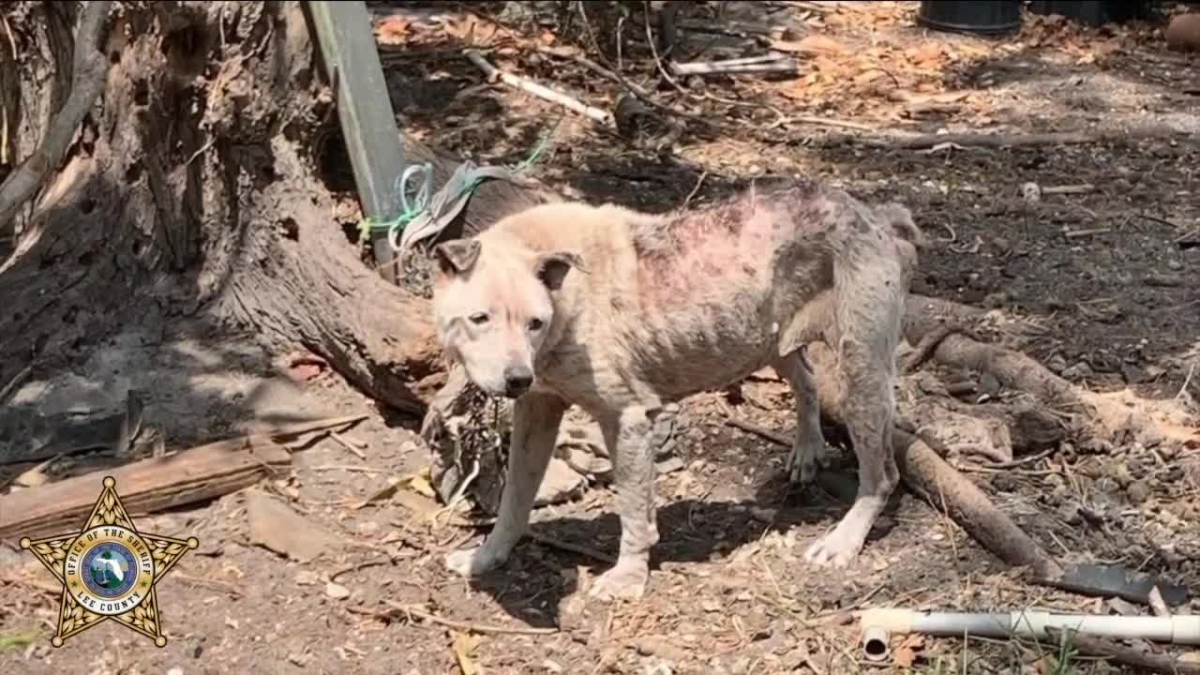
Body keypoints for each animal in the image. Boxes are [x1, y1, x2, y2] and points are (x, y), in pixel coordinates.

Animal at [434, 178, 926, 598]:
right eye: (480, 318)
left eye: (534, 323)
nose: (517, 378)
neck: (567, 293)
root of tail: (875, 214)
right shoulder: (537, 408)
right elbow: (515, 497)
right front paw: (486, 558)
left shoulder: (628, 421)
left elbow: (634, 510)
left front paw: (627, 579)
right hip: (769, 340)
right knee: (805, 380)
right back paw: (807, 450)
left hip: (859, 374)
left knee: (882, 475)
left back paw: (843, 540)